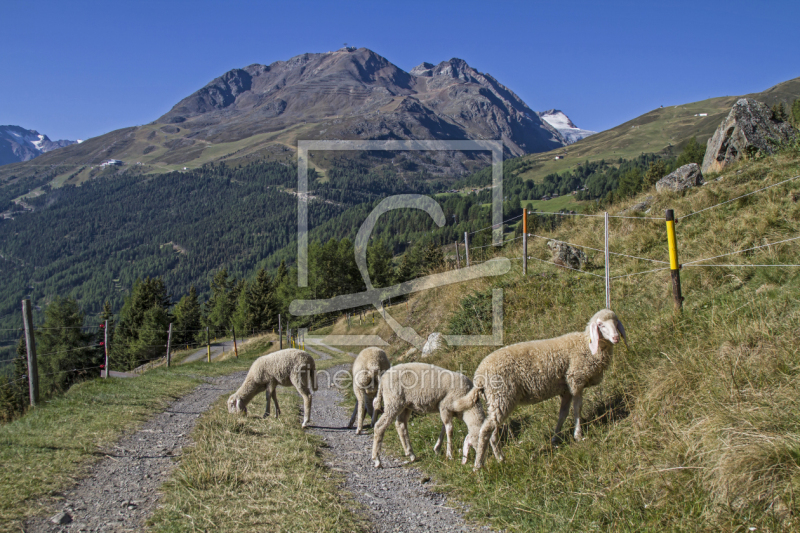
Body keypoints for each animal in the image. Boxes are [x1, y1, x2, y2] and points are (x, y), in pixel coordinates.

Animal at [454, 308, 628, 470]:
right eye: (600, 325)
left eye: (616, 322)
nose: (616, 338)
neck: (586, 345)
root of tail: (480, 376)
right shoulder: (576, 380)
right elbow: (577, 409)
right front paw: (578, 435)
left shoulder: (566, 389)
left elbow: (563, 413)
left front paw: (556, 438)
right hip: (502, 396)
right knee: (486, 430)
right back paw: (478, 465)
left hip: (496, 400)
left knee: (492, 430)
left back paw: (500, 458)